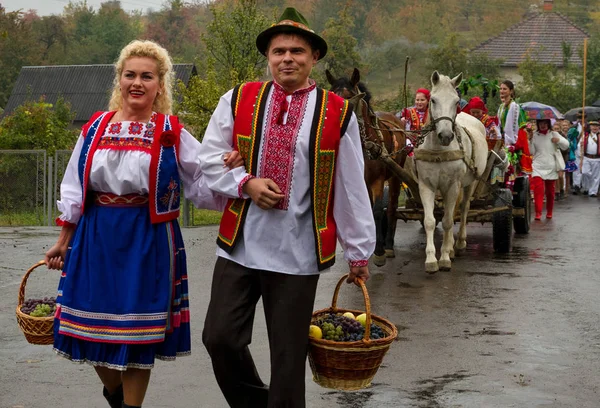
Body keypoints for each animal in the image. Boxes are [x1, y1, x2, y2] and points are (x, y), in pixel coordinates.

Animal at [328, 68, 408, 266]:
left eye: (349, 97)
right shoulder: (360, 181)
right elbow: (367, 211)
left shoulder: (378, 180)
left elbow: (378, 211)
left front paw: (379, 252)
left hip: (396, 175)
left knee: (392, 205)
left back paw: (389, 245)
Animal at [414, 71, 490, 272]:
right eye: (433, 100)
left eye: (456, 101)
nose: (446, 136)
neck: (438, 151)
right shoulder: (426, 186)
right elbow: (430, 221)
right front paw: (431, 259)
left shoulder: (452, 185)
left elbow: (448, 221)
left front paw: (445, 257)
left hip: (469, 182)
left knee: (463, 209)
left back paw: (459, 243)